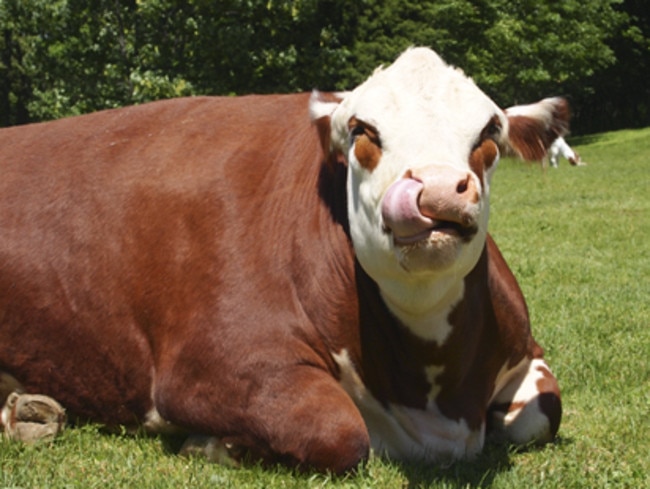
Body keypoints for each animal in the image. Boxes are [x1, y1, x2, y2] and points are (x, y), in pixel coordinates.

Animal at [0, 47, 560, 470]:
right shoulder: (211, 364)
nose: (439, 188)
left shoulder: (526, 350)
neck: (434, 399)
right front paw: (213, 443)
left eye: (489, 132)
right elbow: (336, 430)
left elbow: (544, 414)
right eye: (362, 130)